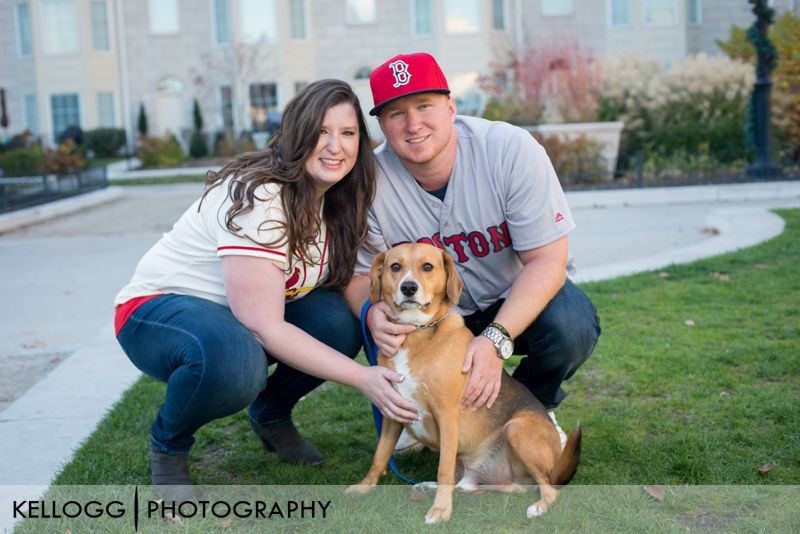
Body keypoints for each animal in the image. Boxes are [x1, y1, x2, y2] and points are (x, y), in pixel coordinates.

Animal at [346, 245, 580, 524]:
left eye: (427, 267)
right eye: (395, 267)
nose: (409, 288)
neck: (415, 333)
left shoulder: (447, 415)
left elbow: (443, 468)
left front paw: (440, 510)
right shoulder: (393, 411)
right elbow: (380, 456)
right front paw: (364, 486)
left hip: (516, 429)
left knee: (548, 488)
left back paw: (540, 506)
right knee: (493, 486)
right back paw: (433, 486)